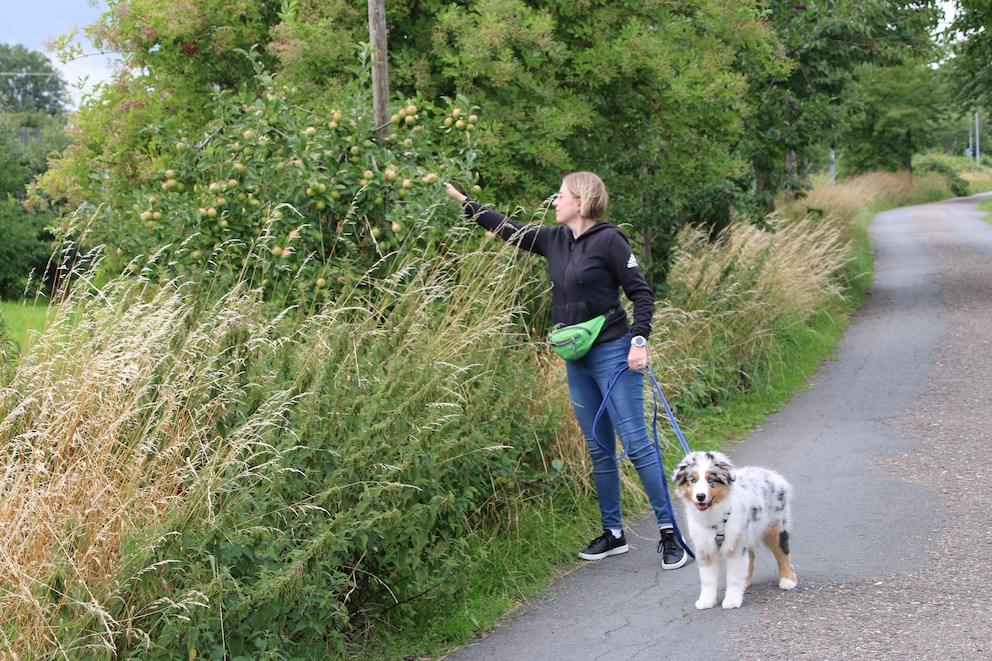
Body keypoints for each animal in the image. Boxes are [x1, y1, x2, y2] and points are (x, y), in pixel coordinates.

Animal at [672, 448, 796, 608]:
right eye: (692, 480)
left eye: (711, 480)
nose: (700, 496)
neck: (714, 518)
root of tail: (772, 475)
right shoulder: (704, 549)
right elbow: (707, 579)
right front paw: (705, 601)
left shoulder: (735, 547)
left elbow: (733, 577)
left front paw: (731, 601)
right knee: (751, 556)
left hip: (776, 526)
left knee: (782, 552)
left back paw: (788, 581)